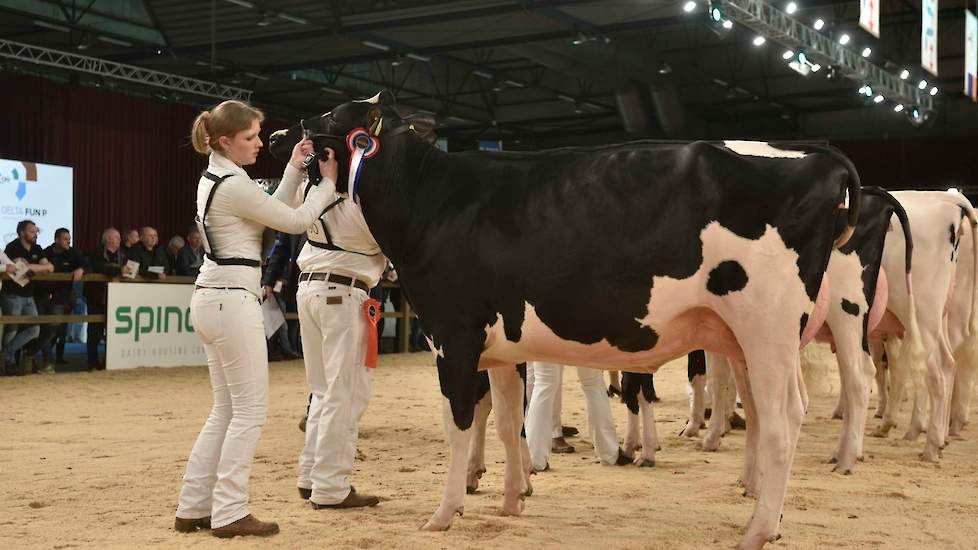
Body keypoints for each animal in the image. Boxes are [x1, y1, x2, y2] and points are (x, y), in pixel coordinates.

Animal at [266, 92, 856, 548]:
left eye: (328, 116)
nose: (277, 135)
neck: (431, 201)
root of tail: (820, 156)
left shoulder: (453, 338)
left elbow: (459, 426)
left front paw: (444, 512)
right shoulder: (499, 347)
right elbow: (507, 422)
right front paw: (511, 501)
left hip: (767, 328)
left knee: (782, 421)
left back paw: (758, 528)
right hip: (749, 337)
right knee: (770, 413)